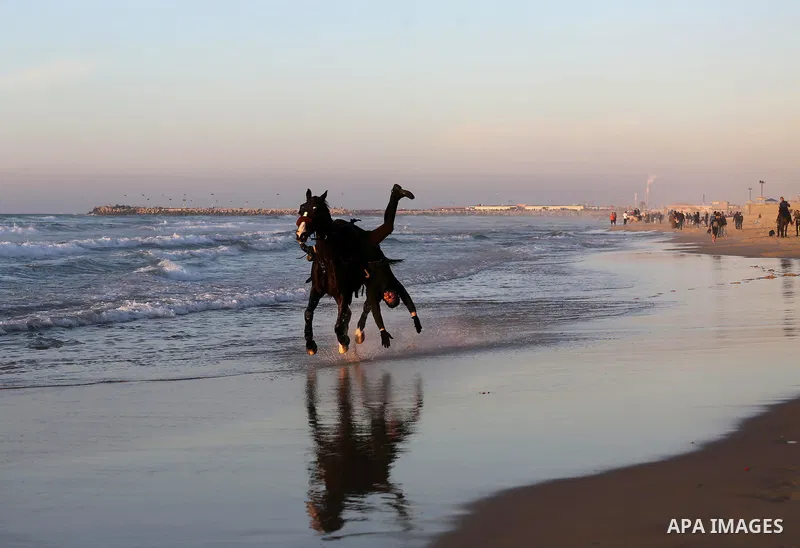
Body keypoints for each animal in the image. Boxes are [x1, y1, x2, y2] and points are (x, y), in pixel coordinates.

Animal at [296, 189, 370, 355]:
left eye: (316, 209)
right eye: (302, 207)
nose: (300, 234)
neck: (327, 259)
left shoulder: (344, 292)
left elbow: (338, 323)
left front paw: (344, 340)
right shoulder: (317, 290)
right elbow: (308, 313)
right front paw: (310, 344)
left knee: (367, 305)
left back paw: (358, 334)